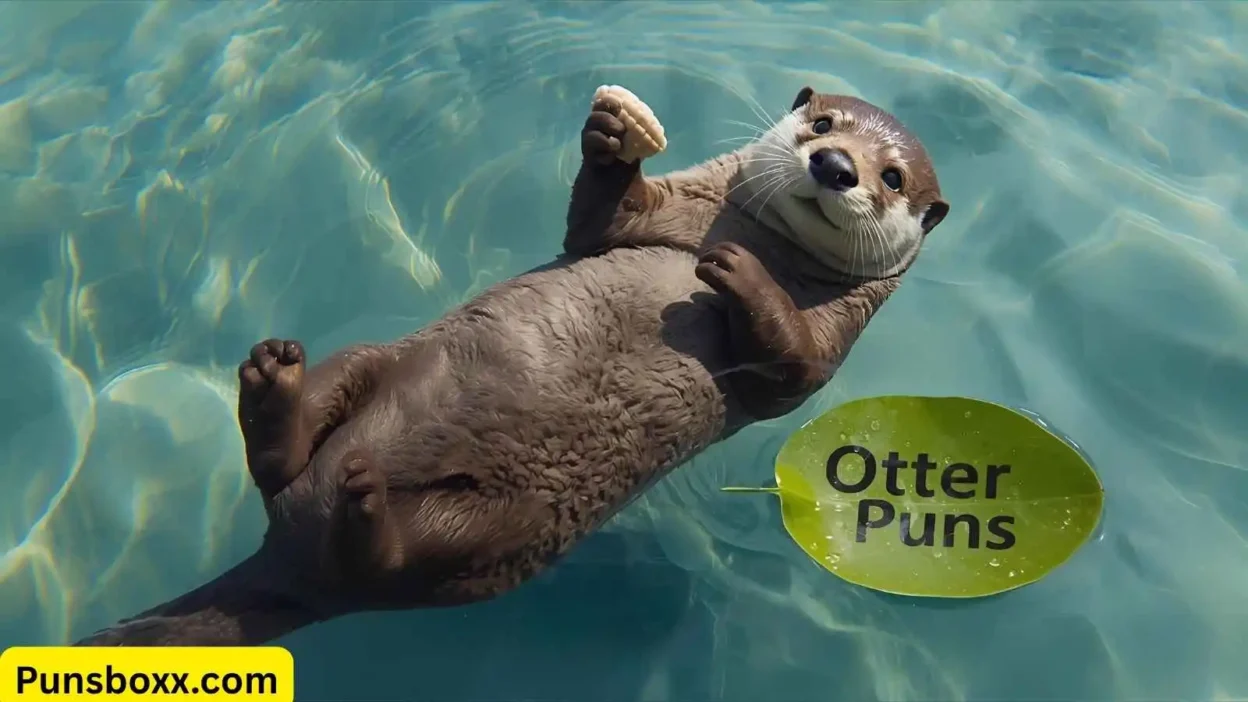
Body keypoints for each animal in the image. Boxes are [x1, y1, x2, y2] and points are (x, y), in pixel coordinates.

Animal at [74, 86, 948, 646]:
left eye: (892, 178)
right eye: (823, 122)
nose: (836, 166)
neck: (747, 232)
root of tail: (288, 565)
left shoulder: (831, 339)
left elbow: (790, 371)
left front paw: (737, 275)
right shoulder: (661, 211)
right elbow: (597, 221)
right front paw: (610, 134)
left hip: (500, 538)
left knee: (391, 563)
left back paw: (360, 504)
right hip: (377, 364)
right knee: (287, 457)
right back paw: (275, 393)